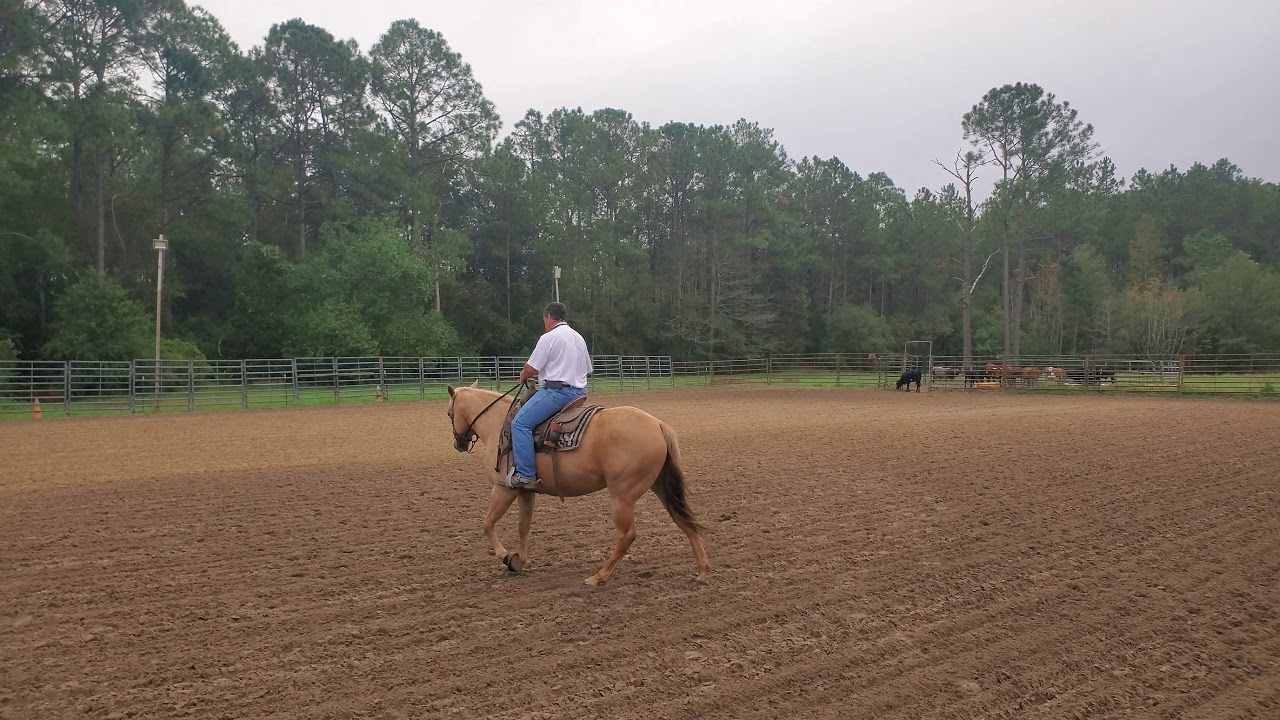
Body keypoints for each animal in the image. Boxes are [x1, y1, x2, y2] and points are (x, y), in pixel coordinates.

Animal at [445, 383, 711, 586]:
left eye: (449, 413)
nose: (459, 443)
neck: (500, 423)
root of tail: (658, 424)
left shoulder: (503, 489)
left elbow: (487, 524)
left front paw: (506, 556)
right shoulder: (525, 491)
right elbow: (524, 527)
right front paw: (520, 559)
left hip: (622, 495)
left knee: (627, 535)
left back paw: (598, 577)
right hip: (661, 487)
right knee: (684, 520)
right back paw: (702, 571)